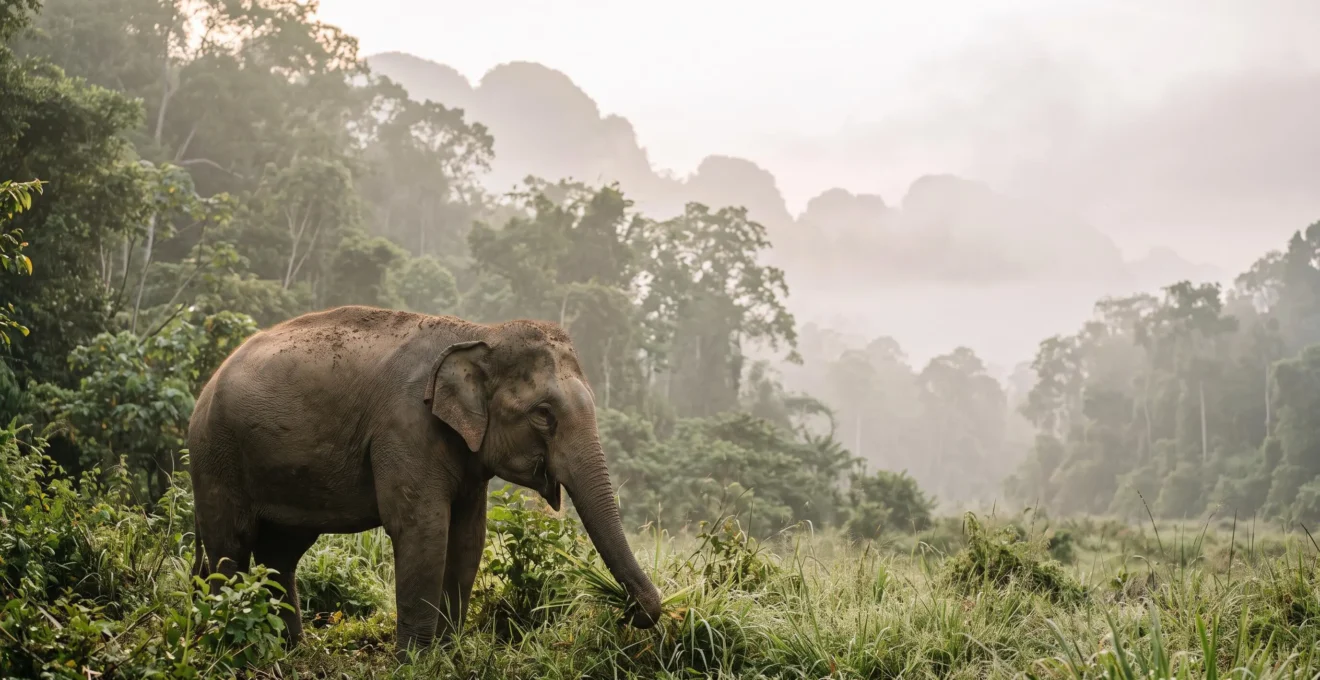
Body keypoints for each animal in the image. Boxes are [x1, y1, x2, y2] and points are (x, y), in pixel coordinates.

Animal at [186, 305, 662, 658]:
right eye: (544, 414)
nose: (630, 614)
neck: (479, 333)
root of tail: (208, 384)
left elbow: (468, 537)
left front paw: (447, 655)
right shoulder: (405, 429)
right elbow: (424, 530)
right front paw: (414, 660)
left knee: (279, 552)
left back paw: (289, 650)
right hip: (216, 454)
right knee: (230, 545)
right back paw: (230, 646)